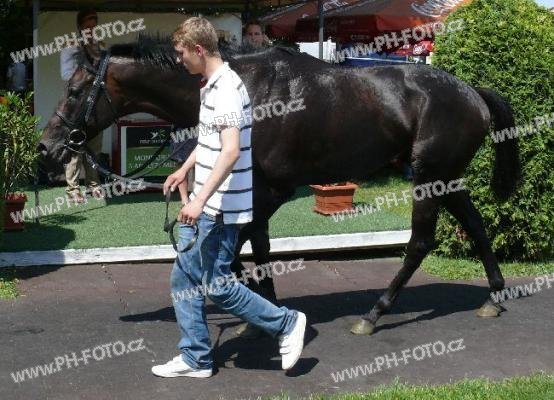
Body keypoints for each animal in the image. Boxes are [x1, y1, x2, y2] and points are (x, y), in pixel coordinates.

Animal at [38, 36, 520, 336]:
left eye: (76, 89)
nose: (47, 146)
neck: (247, 93)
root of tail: (472, 92)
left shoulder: (273, 190)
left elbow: (245, 246)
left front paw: (258, 309)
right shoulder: (252, 189)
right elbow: (253, 247)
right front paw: (260, 309)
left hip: (428, 177)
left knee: (420, 242)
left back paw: (373, 314)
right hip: (445, 178)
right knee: (476, 226)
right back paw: (494, 297)